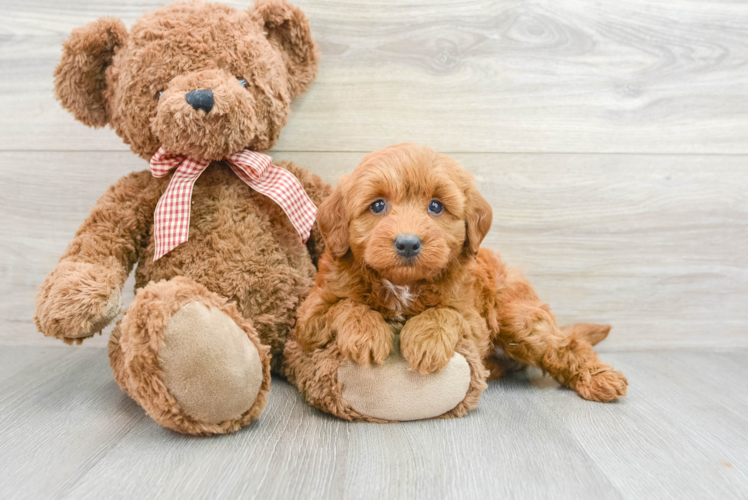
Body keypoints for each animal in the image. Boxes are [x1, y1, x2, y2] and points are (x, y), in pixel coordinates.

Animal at [296, 143, 628, 400]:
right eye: (377, 206)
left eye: (435, 206)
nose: (408, 243)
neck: (403, 283)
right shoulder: (311, 314)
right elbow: (346, 305)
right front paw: (366, 332)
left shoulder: (474, 318)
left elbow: (445, 312)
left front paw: (426, 340)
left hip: (514, 314)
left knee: (565, 344)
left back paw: (600, 377)